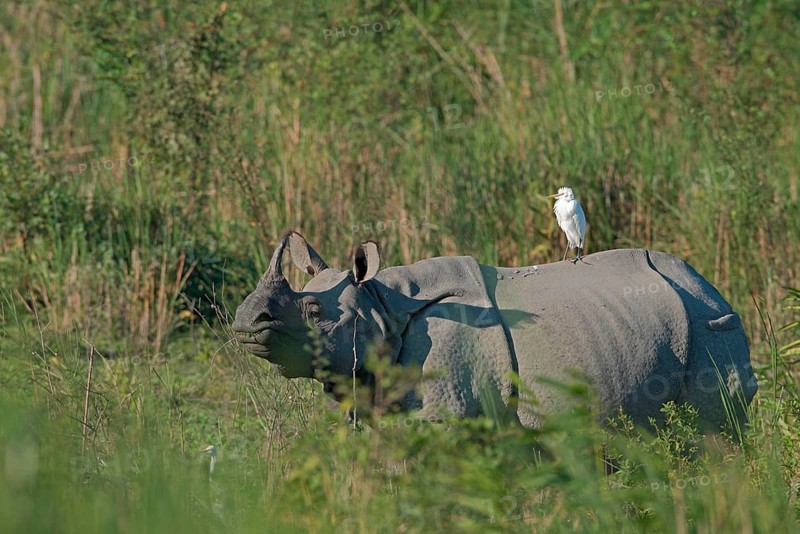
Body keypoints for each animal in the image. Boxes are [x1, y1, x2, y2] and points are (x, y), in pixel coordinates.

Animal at [232, 231, 757, 431]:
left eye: (313, 310)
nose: (243, 324)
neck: (381, 303)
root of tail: (711, 287)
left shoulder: (446, 412)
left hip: (710, 326)